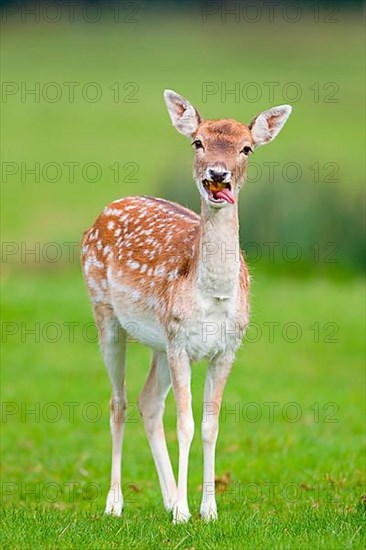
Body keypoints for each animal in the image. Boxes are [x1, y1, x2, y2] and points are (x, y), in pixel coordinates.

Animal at [81, 91, 292, 528]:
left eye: (246, 148)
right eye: (198, 141)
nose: (218, 174)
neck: (212, 297)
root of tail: (103, 212)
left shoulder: (225, 348)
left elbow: (210, 425)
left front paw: (207, 509)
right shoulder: (180, 341)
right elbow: (185, 423)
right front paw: (184, 512)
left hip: (160, 344)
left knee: (147, 402)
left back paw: (166, 500)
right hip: (106, 312)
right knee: (118, 402)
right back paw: (116, 503)